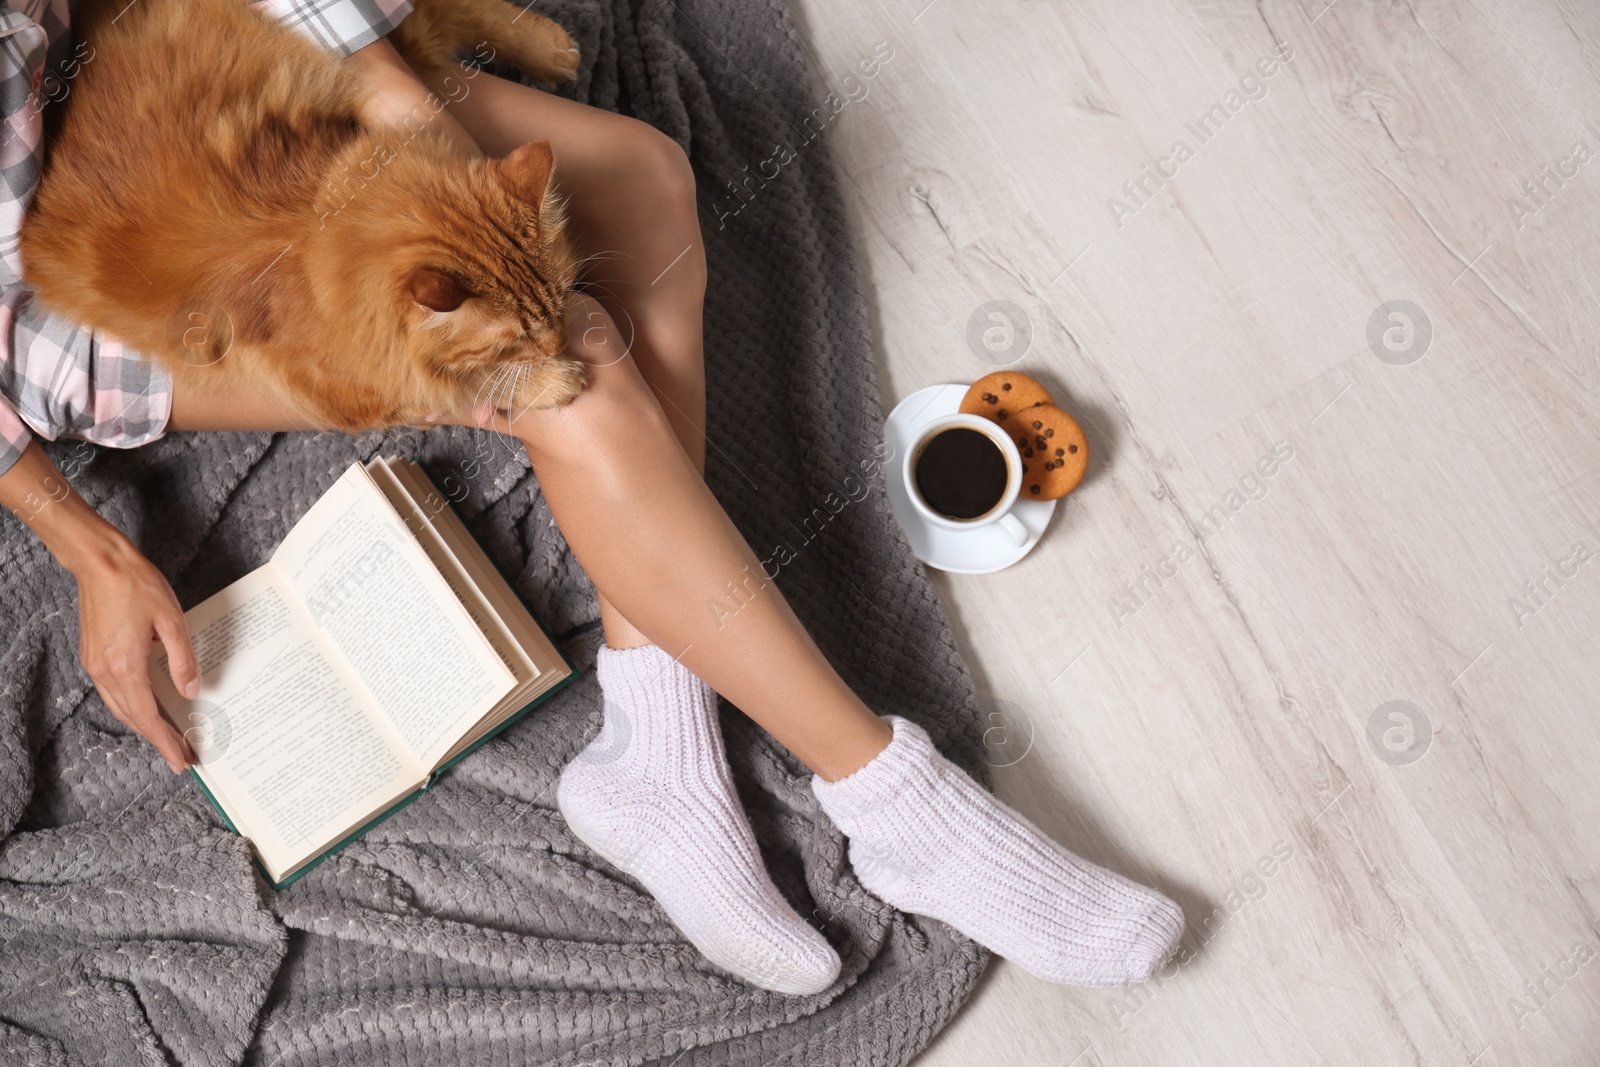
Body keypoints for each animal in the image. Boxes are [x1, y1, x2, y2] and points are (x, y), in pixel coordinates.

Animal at [20, 0, 588, 428]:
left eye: (564, 297)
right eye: (517, 338)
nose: (563, 340)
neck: (310, 233)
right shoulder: (365, 392)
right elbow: (472, 385)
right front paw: (553, 380)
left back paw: (552, 48)